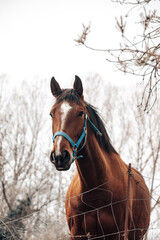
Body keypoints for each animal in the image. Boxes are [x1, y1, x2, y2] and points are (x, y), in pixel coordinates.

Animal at [49, 76, 151, 239]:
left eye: (80, 113)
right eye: (52, 114)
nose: (60, 156)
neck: (95, 188)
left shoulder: (117, 233)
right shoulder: (77, 234)